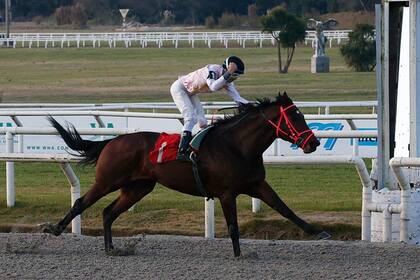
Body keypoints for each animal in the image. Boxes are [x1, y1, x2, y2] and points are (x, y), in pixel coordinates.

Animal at [42, 91, 332, 256]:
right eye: (295, 117)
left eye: (302, 115)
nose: (314, 143)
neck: (237, 146)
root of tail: (111, 141)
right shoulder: (227, 193)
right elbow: (233, 226)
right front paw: (239, 255)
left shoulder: (257, 184)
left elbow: (285, 208)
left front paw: (318, 232)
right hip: (108, 180)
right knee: (82, 202)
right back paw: (54, 229)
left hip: (138, 188)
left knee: (108, 212)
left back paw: (111, 248)